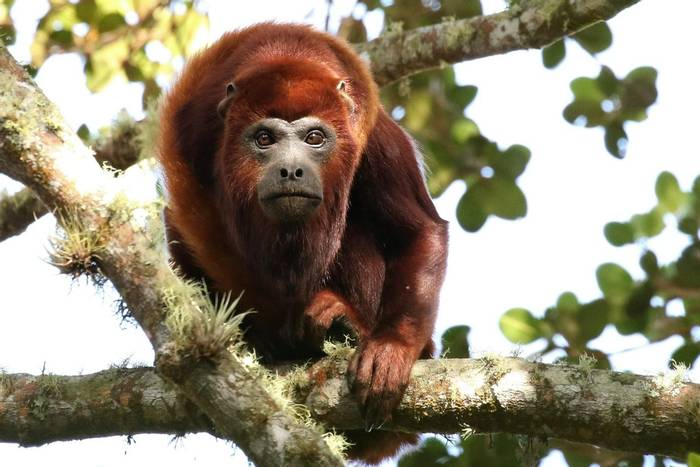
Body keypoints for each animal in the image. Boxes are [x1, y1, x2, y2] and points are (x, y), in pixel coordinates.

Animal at [159, 22, 448, 464]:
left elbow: (418, 232)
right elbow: (185, 224)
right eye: (264, 138)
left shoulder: (371, 135)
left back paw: (349, 327)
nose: (292, 170)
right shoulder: (194, 131)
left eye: (314, 138)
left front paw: (392, 347)